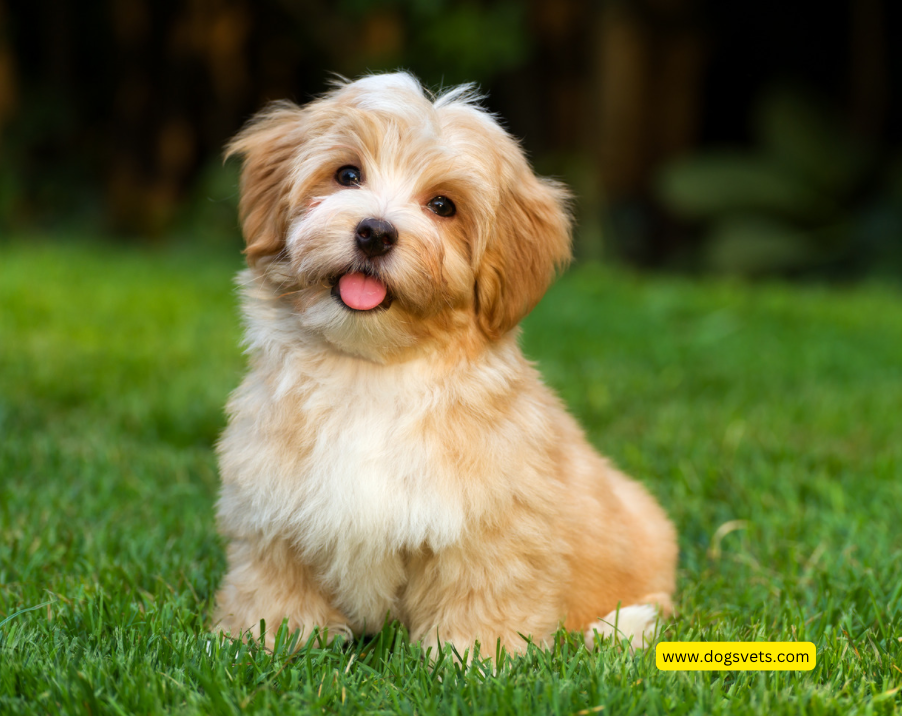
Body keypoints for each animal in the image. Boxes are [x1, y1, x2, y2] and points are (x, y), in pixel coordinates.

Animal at [214, 72, 680, 660]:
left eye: (442, 205)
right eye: (347, 174)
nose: (375, 232)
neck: (373, 369)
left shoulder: (489, 524)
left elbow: (481, 590)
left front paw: (473, 656)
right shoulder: (272, 507)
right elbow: (274, 581)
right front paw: (264, 638)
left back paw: (621, 626)